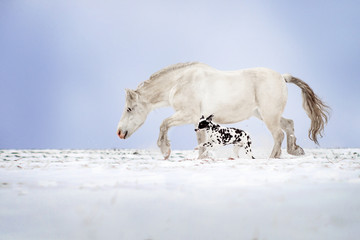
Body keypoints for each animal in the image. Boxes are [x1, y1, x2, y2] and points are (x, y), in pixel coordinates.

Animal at [116, 62, 330, 158]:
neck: (179, 82)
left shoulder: (187, 114)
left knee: (278, 134)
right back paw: (295, 150)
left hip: (269, 115)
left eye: (129, 108)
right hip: (265, 114)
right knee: (289, 125)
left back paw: (272, 158)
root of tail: (282, 77)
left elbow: (163, 124)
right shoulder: (197, 120)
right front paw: (203, 158)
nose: (119, 132)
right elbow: (201, 141)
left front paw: (165, 150)